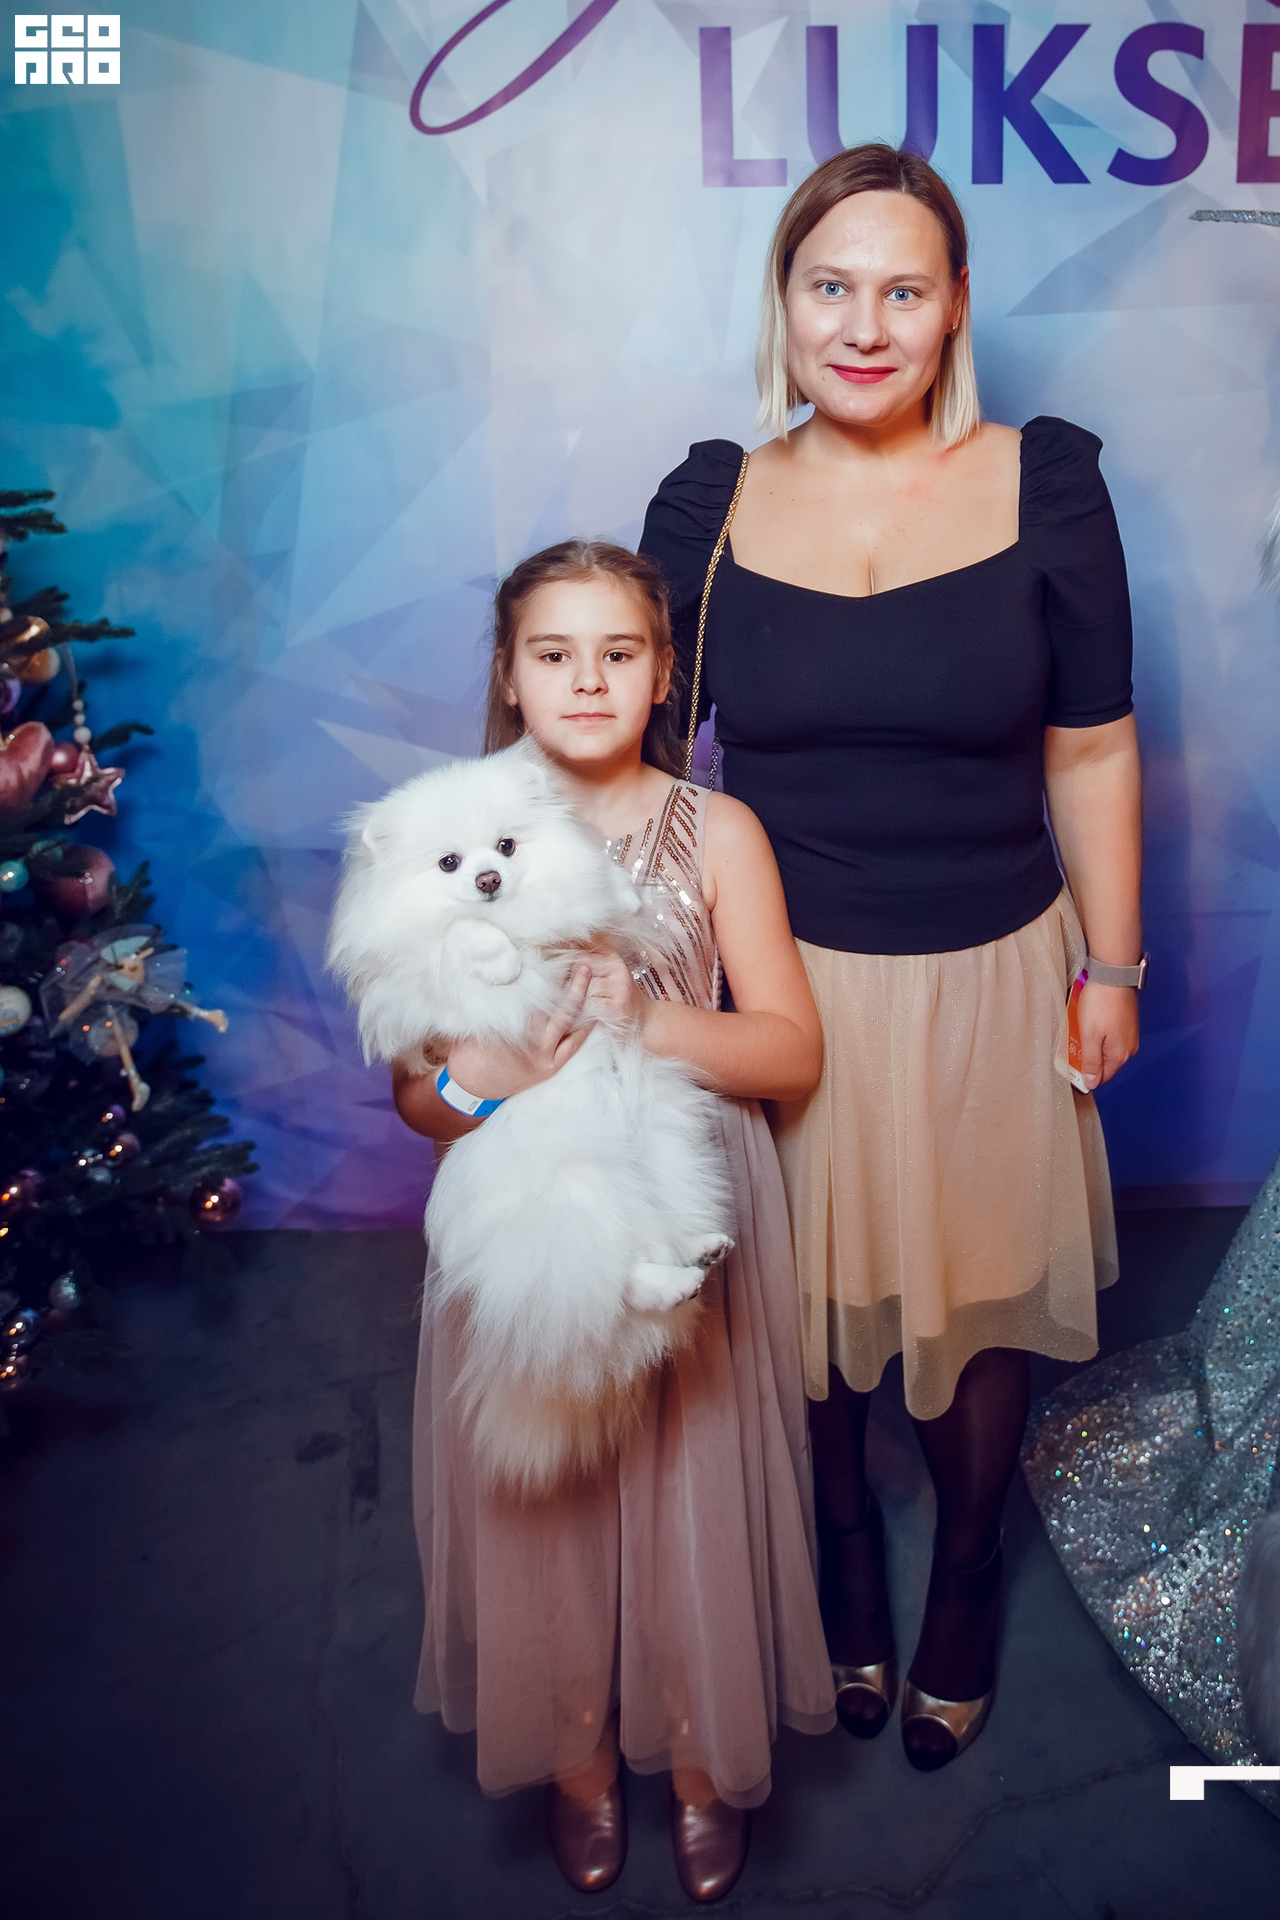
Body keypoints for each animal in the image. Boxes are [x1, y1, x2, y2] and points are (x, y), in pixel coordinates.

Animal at [327, 740, 734, 1494]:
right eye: (449, 863)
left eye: (507, 846)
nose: (489, 878)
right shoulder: (412, 974)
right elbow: (461, 933)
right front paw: (499, 962)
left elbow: (599, 888)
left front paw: (622, 890)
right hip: (579, 1186)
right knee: (617, 1279)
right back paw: (669, 1280)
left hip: (661, 1139)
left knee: (654, 1232)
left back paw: (698, 1248)